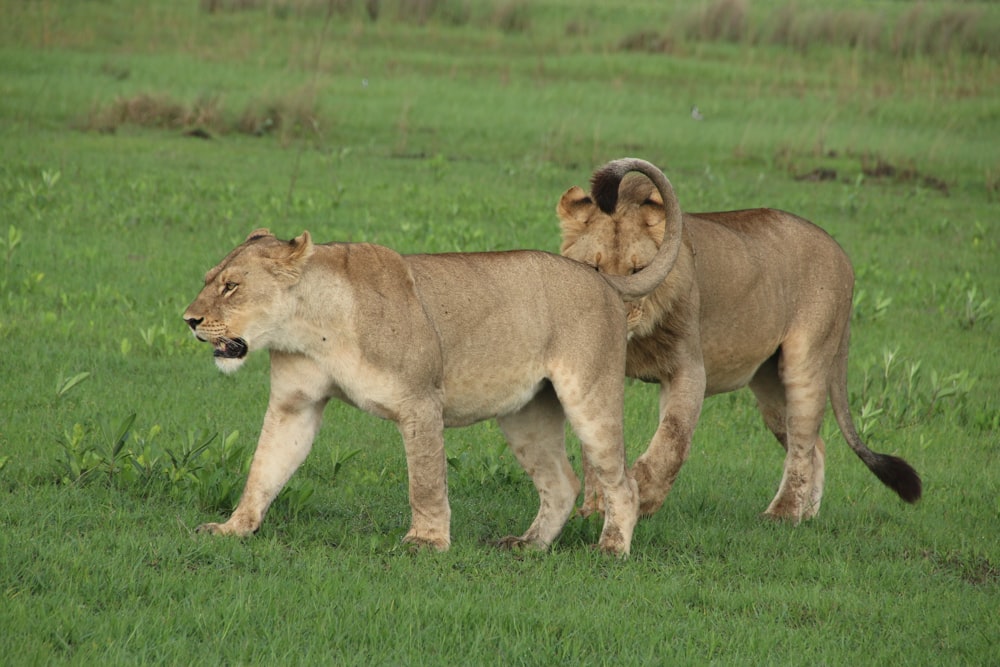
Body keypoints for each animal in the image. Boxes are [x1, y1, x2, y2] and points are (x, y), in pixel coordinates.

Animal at [185, 159, 680, 556]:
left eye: (231, 287)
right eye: (209, 279)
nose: (188, 319)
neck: (309, 325)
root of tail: (605, 280)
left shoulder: (420, 400)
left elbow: (424, 479)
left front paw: (426, 542)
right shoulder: (295, 404)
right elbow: (264, 468)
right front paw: (233, 528)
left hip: (589, 398)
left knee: (623, 483)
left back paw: (611, 550)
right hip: (526, 414)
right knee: (562, 483)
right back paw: (526, 545)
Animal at [560, 160, 916, 520]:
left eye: (638, 271)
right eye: (594, 268)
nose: (616, 313)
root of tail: (841, 253)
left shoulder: (689, 368)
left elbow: (672, 439)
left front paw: (641, 498)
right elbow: (596, 440)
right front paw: (595, 507)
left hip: (806, 363)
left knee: (803, 445)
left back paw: (782, 516)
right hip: (770, 383)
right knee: (815, 446)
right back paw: (806, 517)